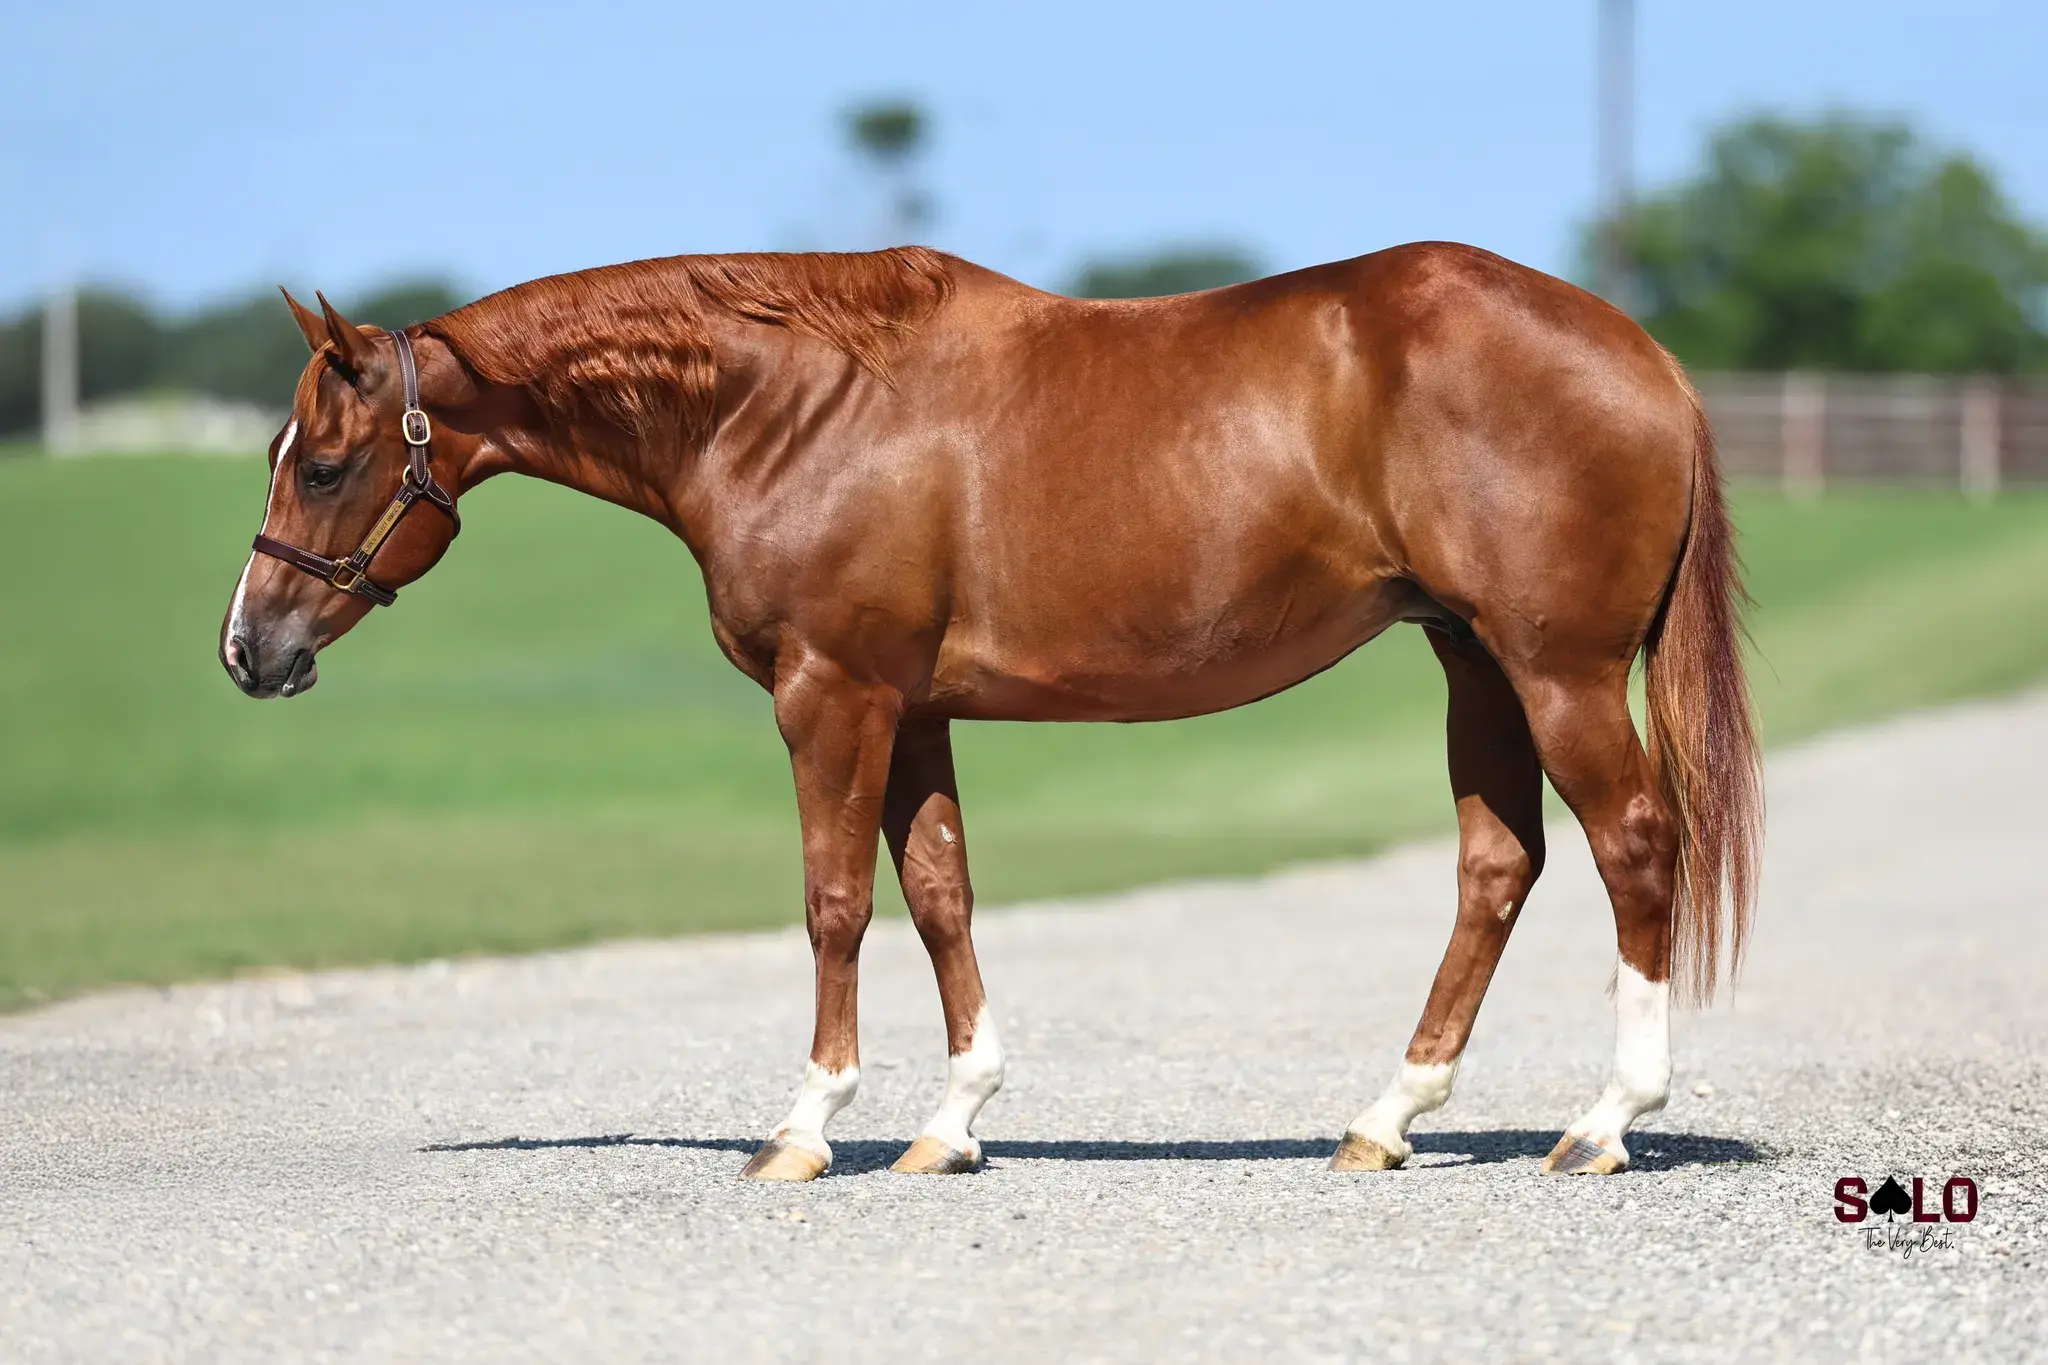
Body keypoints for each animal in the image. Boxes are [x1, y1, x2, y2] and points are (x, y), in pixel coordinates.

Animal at [219, 243, 1761, 1181]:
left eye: (327, 464)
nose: (248, 648)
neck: (791, 406)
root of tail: (1646, 357)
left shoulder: (830, 693)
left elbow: (836, 899)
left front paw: (806, 1126)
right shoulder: (907, 709)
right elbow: (941, 890)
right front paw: (951, 1123)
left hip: (1555, 669)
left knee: (1632, 844)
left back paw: (1607, 1122)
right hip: (1472, 660)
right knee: (1499, 862)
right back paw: (1384, 1120)